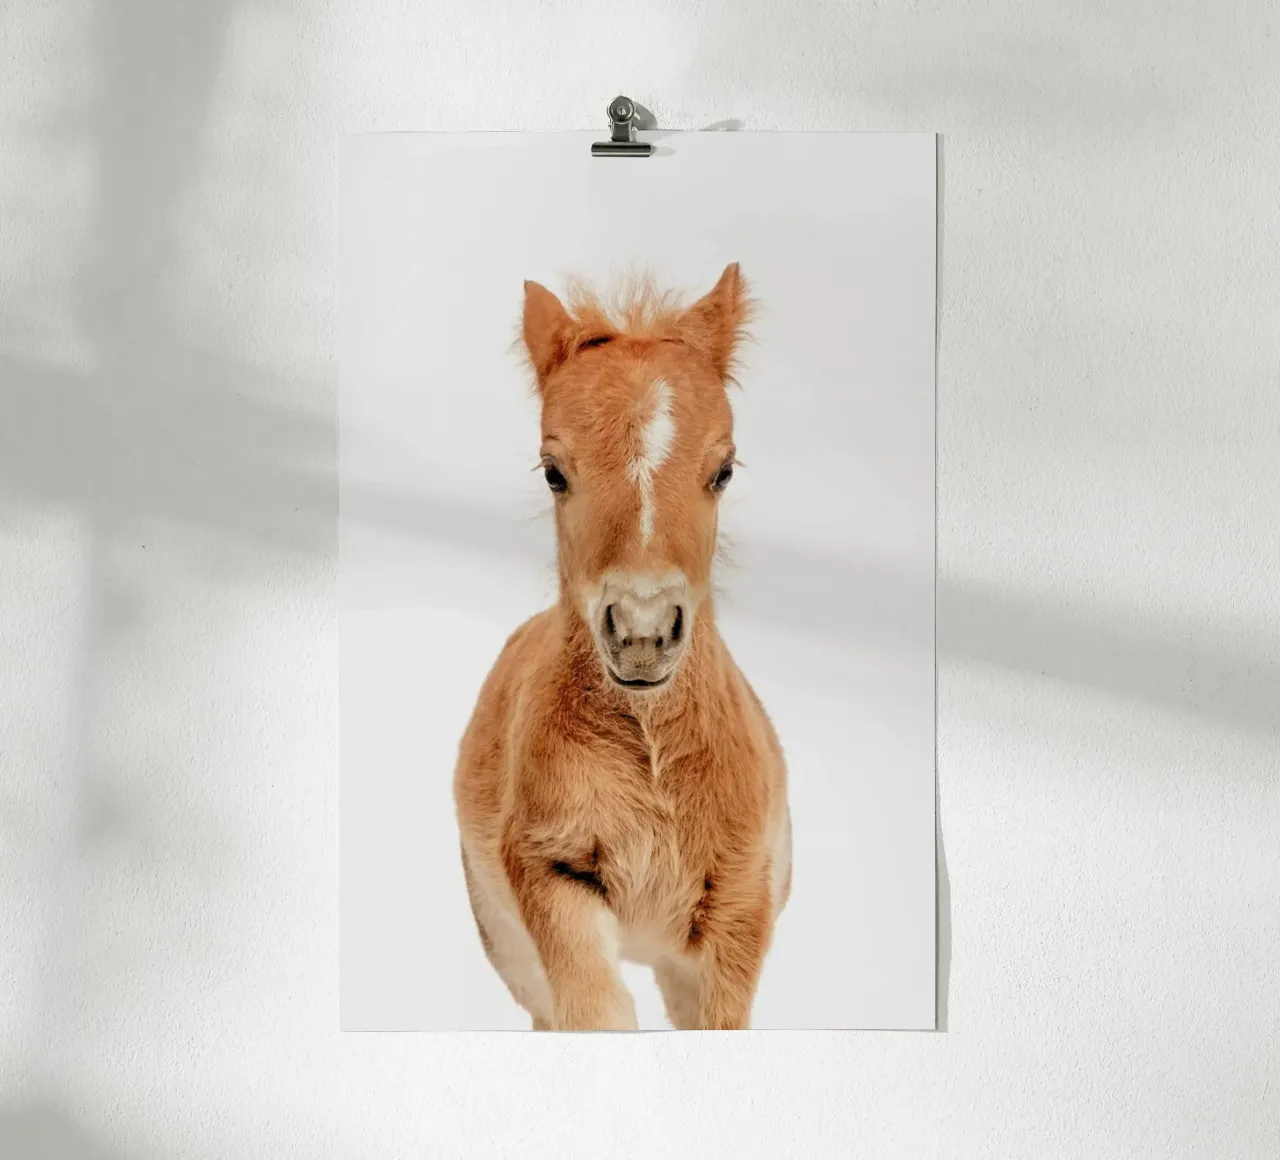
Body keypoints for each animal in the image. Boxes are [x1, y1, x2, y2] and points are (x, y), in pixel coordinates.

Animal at [453, 263, 792, 1031]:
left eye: (724, 469)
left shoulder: (740, 907)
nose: (641, 633)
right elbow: (596, 1015)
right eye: (554, 471)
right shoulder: (551, 873)